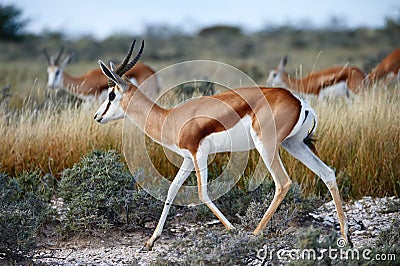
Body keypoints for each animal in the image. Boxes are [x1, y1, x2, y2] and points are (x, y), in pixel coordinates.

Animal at [94, 39, 350, 249]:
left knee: (283, 183)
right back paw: (345, 239)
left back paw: (255, 234)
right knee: (327, 173)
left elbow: (202, 193)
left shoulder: (199, 154)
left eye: (111, 95)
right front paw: (151, 240)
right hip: (294, 145)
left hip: (267, 147)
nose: (97, 116)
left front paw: (233, 229)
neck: (170, 118)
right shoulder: (188, 159)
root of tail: (299, 101)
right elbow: (171, 189)